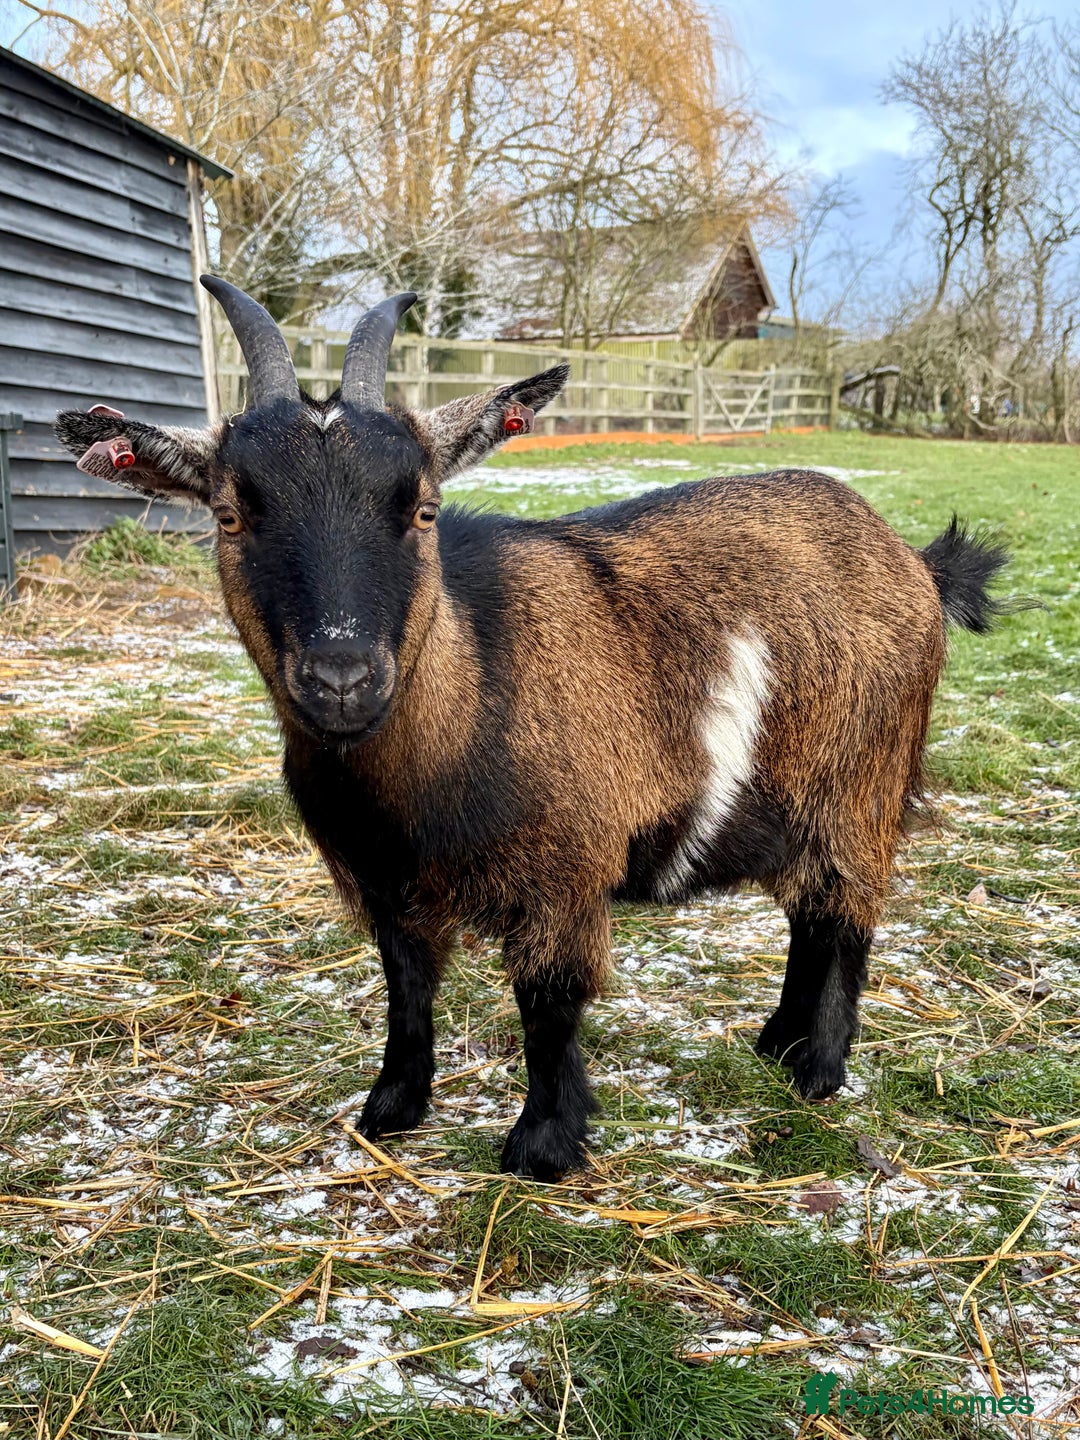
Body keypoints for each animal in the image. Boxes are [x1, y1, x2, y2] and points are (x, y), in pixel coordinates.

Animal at [56, 280, 1007, 1180]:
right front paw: (391, 1109)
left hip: (865, 783)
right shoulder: (385, 880)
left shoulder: (565, 870)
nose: (343, 679)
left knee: (848, 916)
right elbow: (407, 988)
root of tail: (916, 561)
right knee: (811, 916)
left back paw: (818, 1070)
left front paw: (543, 1146)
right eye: (228, 513)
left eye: (423, 508)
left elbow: (548, 1006)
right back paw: (777, 1044)